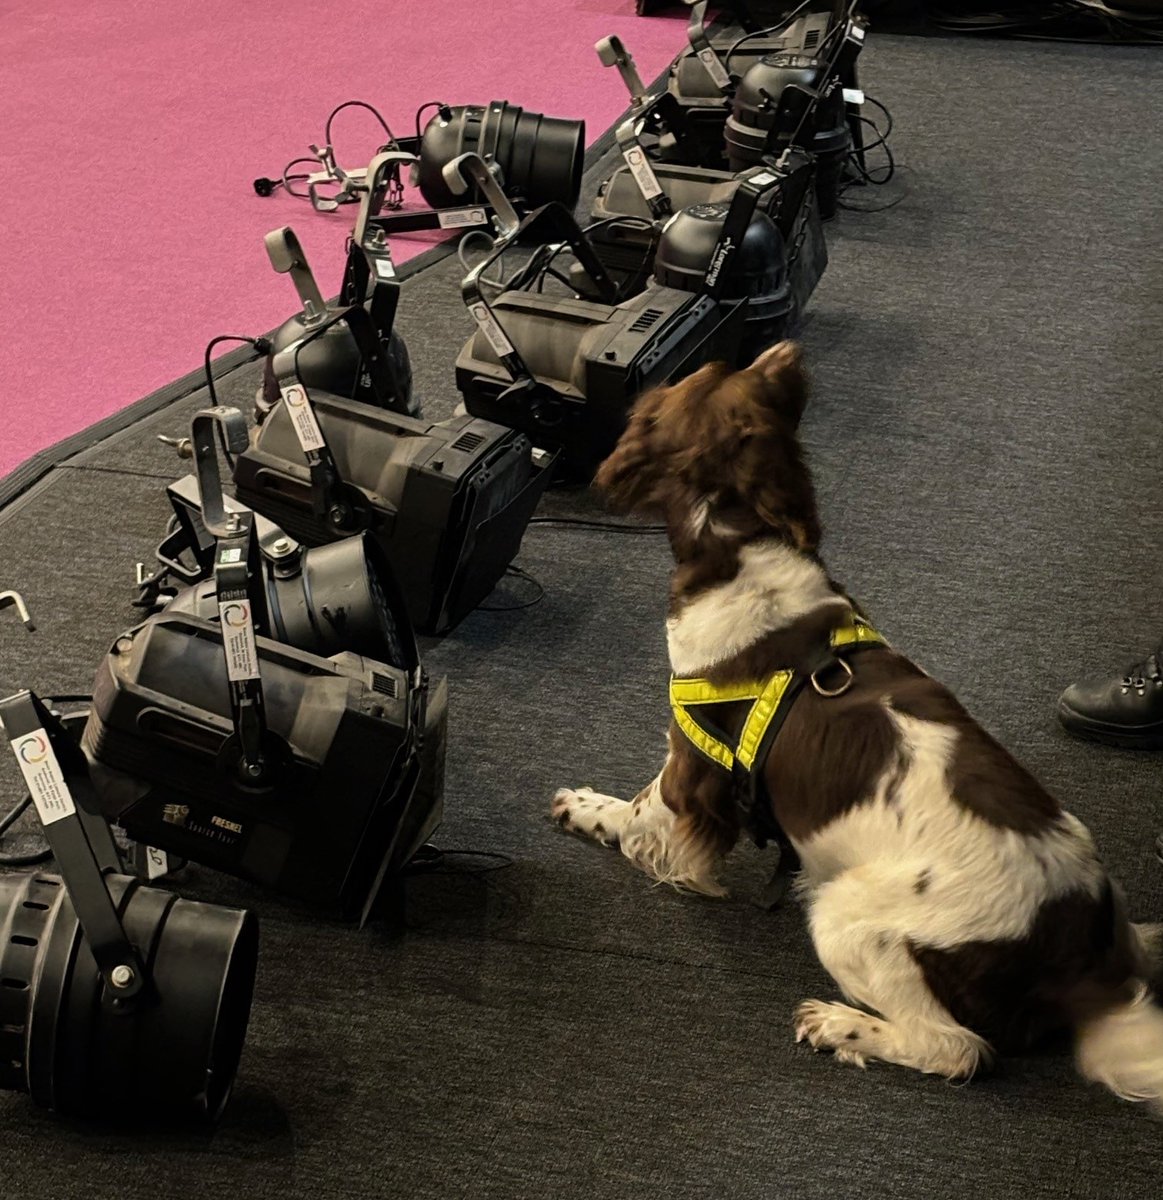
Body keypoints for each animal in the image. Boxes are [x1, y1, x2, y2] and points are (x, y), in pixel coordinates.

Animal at [552, 340, 1161, 1104]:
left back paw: (839, 1026)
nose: (789, 348)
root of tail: (1085, 958)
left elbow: (641, 812)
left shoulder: (691, 764)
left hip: (847, 918)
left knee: (959, 1049)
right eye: (746, 374)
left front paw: (587, 809)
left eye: (710, 367)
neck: (740, 547)